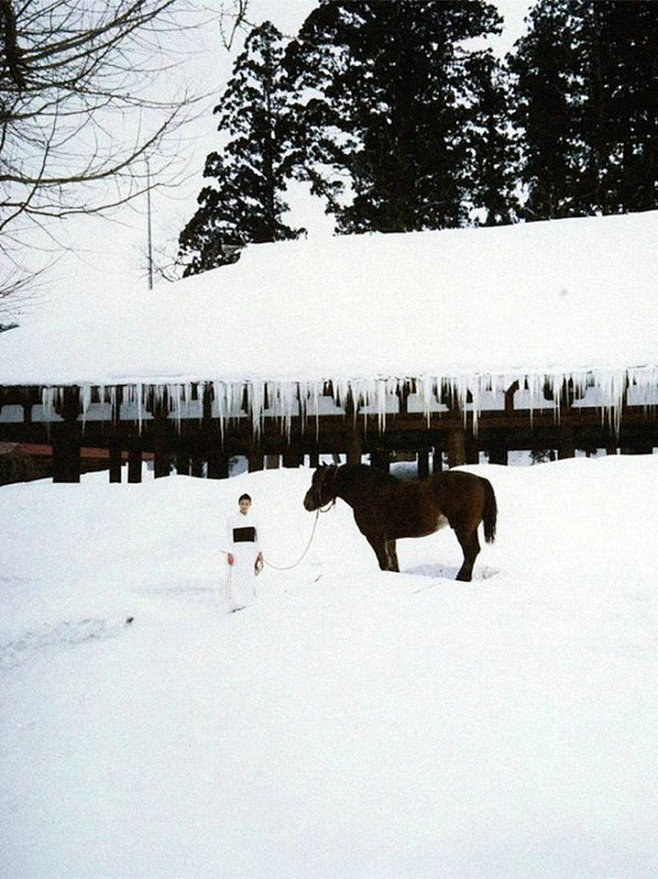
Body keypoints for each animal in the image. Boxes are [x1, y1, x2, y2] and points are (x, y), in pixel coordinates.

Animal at [304, 464, 494, 580]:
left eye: (322, 482)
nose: (306, 503)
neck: (369, 493)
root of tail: (478, 479)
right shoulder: (389, 539)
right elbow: (393, 563)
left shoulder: (375, 538)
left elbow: (383, 563)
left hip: (463, 529)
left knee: (471, 552)